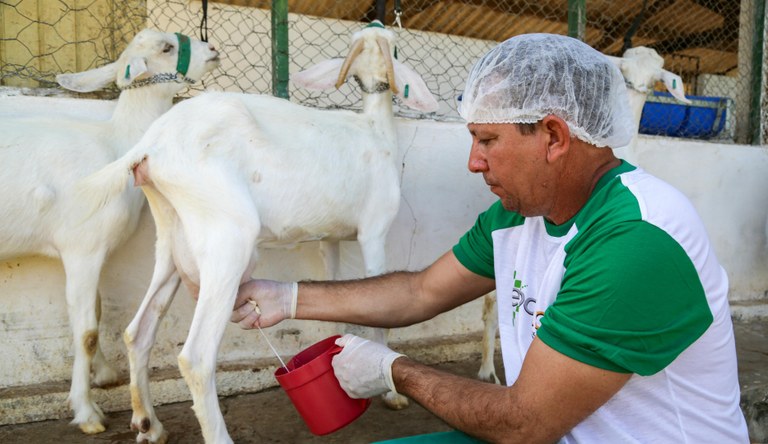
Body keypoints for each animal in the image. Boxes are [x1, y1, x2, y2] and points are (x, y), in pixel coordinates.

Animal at [0, 30, 218, 434]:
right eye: (166, 47)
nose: (213, 49)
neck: (118, 144)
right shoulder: (82, 248)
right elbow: (85, 331)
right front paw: (87, 413)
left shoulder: (92, 253)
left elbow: (96, 314)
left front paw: (104, 375)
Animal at [80, 23, 438, 444]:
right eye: (396, 50)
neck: (374, 130)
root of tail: (150, 145)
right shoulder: (374, 230)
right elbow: (380, 315)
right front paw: (393, 394)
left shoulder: (329, 239)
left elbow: (336, 296)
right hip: (227, 237)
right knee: (196, 358)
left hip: (171, 239)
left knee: (138, 332)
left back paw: (149, 424)